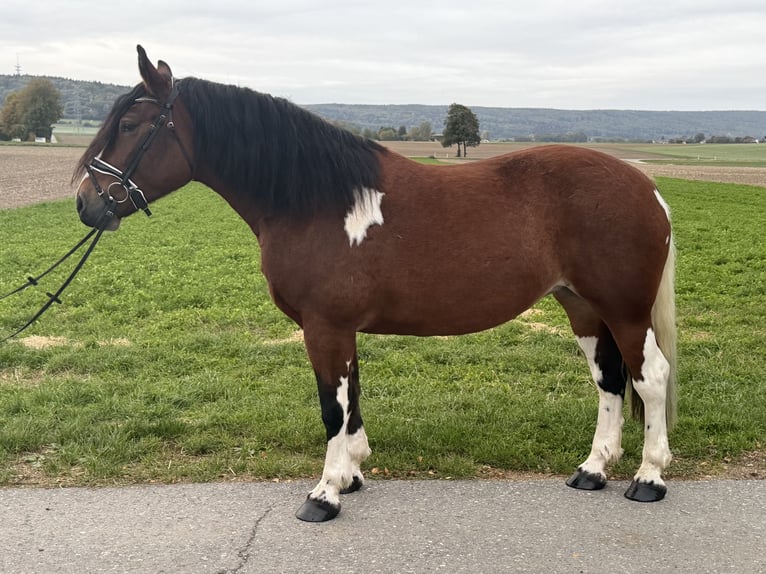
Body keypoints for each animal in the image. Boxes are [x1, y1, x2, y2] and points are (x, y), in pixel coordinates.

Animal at [74, 46, 677, 522]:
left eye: (129, 126)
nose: (85, 202)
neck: (315, 200)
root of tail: (647, 187)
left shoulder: (325, 327)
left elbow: (331, 406)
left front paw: (324, 494)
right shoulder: (340, 330)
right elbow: (352, 400)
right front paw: (353, 474)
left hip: (624, 309)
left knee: (650, 377)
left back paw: (649, 479)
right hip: (583, 307)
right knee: (609, 379)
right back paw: (593, 470)